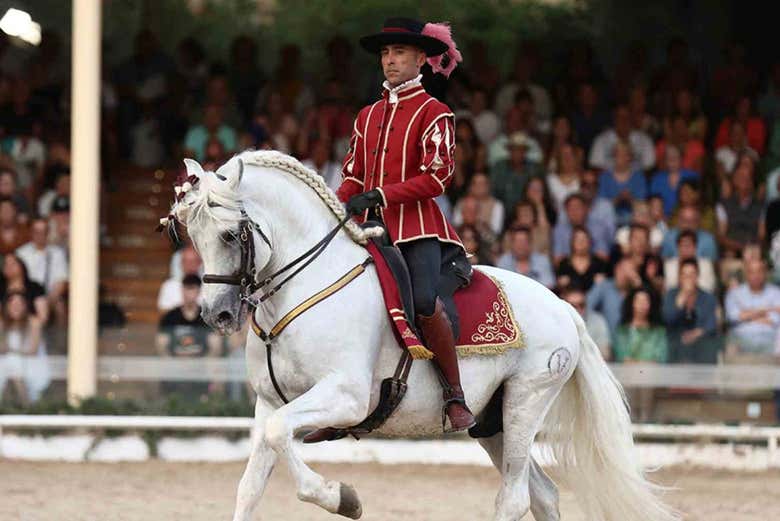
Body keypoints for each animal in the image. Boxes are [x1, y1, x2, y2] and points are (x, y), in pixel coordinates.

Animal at [167, 150, 679, 521]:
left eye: (231, 235)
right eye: (190, 234)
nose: (215, 313)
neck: (306, 285)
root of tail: (565, 308)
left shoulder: (345, 397)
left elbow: (283, 440)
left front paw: (342, 497)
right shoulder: (270, 403)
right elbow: (251, 484)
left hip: (525, 403)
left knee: (514, 497)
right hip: (490, 421)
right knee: (543, 494)